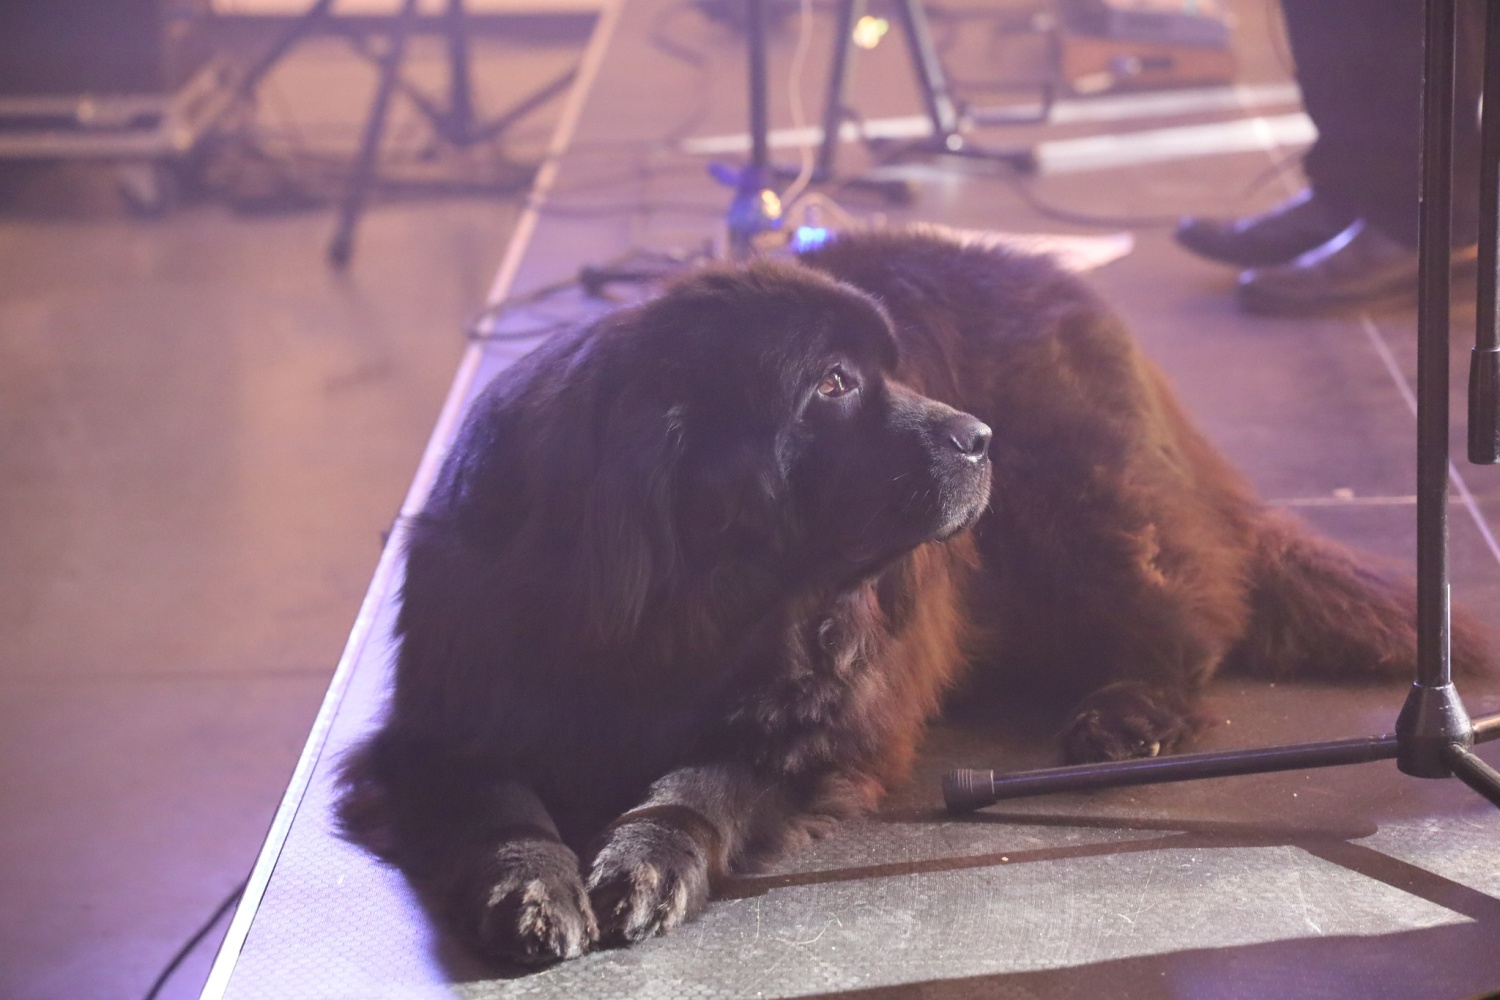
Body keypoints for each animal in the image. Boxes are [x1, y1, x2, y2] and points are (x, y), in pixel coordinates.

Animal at [337, 228, 1491, 965]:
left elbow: (705, 779)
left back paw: (1131, 708)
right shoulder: (441, 718)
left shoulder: (823, 718)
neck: (686, 597)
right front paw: (533, 885)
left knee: (1192, 610)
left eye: (888, 371)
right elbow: (497, 799)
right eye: (834, 384)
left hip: (1086, 512)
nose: (980, 435)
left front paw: (648, 859)